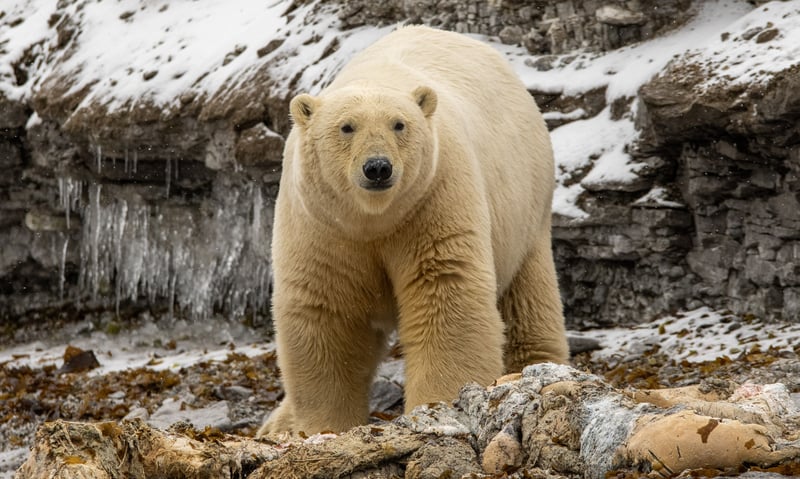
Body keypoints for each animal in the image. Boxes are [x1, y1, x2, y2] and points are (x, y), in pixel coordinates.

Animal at [257, 25, 569, 437]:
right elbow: (328, 310)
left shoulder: (433, 198)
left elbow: (445, 292)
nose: (377, 167)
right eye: (347, 127)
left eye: (398, 124)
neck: (375, 219)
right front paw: (324, 425)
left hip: (526, 206)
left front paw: (439, 404)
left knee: (527, 301)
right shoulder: (322, 223)